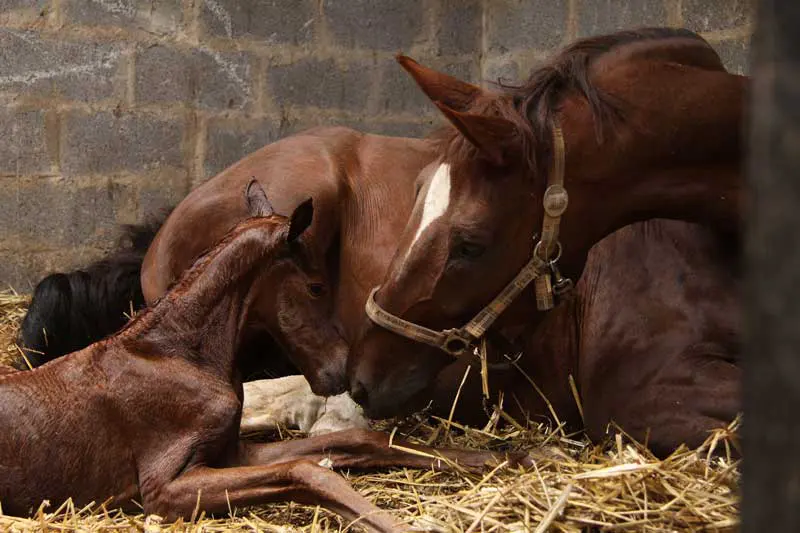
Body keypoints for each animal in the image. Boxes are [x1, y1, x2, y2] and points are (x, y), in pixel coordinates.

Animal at [0, 180, 518, 531]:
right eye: (317, 286)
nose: (342, 372)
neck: (175, 352)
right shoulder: (164, 488)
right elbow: (309, 470)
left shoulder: (231, 451)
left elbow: (356, 443)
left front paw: (506, 456)